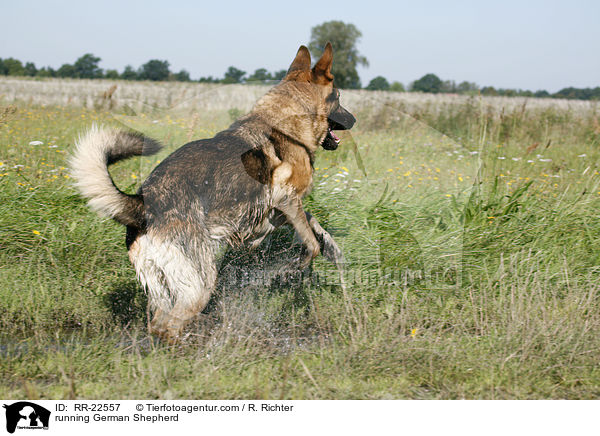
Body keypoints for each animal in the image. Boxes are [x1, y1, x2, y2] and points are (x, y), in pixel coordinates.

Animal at [69, 44, 354, 344]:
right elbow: (309, 242)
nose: (354, 120)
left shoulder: (273, 212)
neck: (284, 126)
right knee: (171, 324)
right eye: (338, 98)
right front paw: (295, 265)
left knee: (158, 324)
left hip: (162, 286)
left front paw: (331, 247)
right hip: (199, 282)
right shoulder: (285, 198)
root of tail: (141, 206)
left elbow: (311, 223)